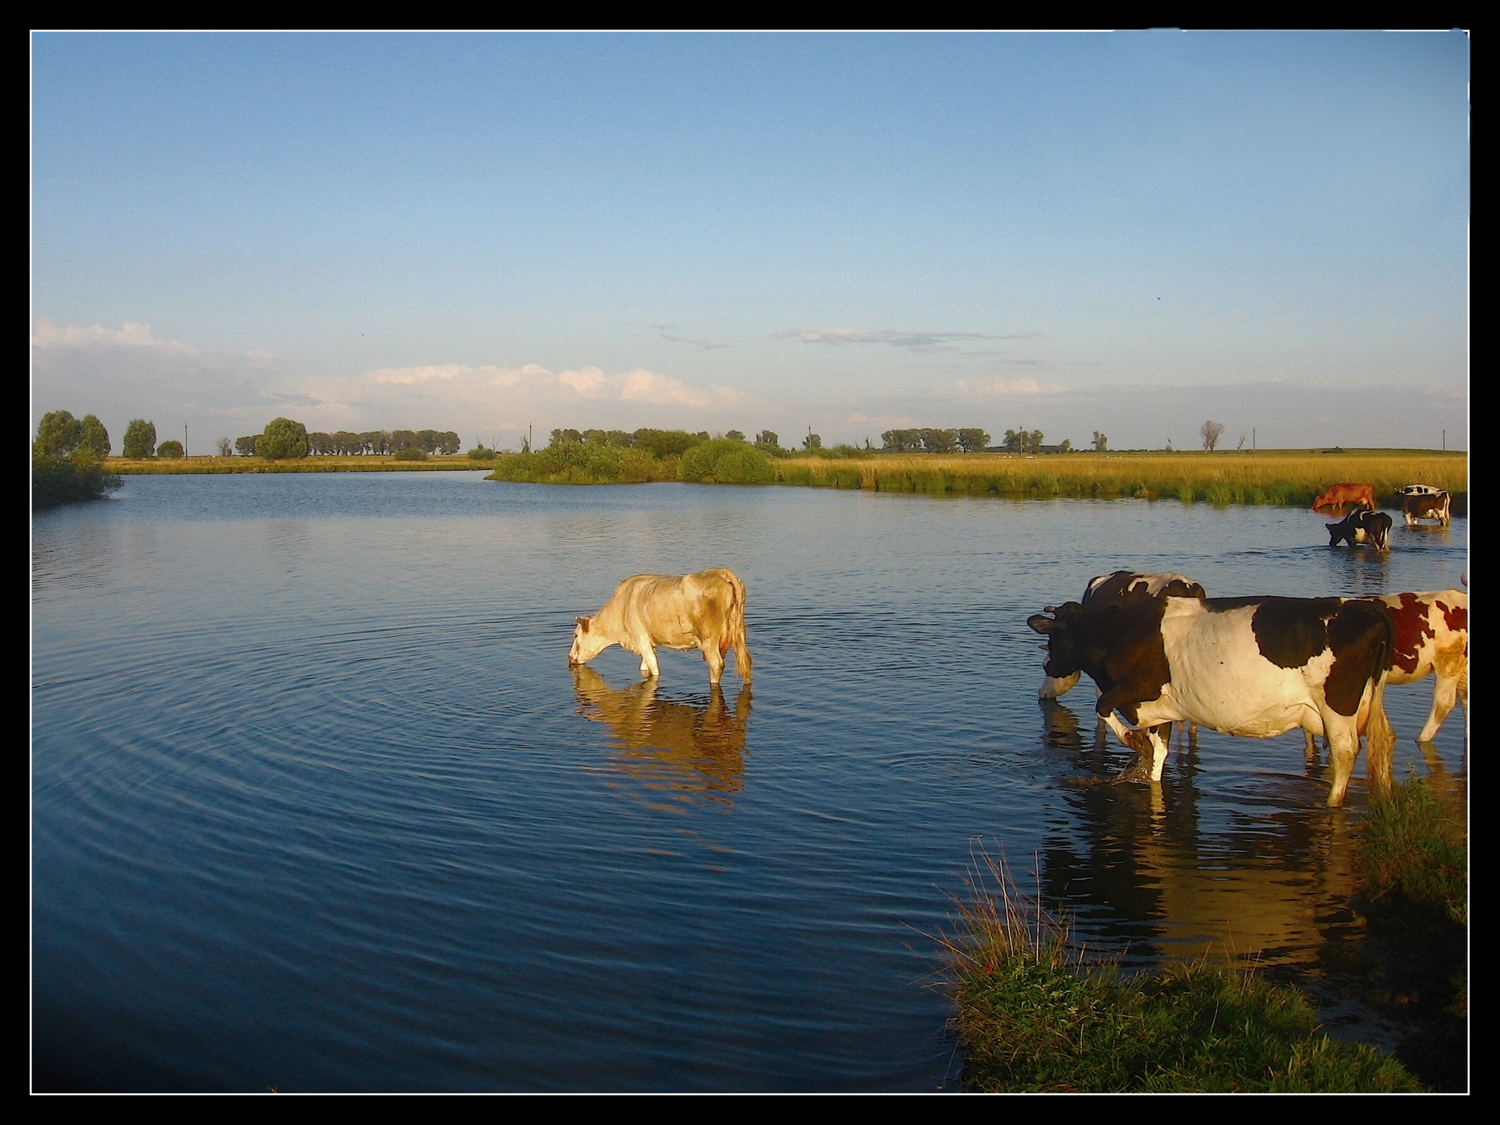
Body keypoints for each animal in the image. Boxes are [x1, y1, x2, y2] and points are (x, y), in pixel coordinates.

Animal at [564, 567, 750, 684]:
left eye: (575, 635)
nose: (570, 658)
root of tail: (721, 571)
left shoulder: (641, 639)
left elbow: (653, 668)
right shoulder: (649, 642)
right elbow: (645, 667)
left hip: (708, 640)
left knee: (716, 665)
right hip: (739, 633)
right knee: (746, 664)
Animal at [1032, 594, 1392, 804]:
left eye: (1053, 639)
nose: (1047, 665)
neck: (1116, 632)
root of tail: (1369, 608)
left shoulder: (1137, 689)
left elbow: (1103, 706)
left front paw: (1134, 742)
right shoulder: (1162, 710)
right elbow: (1158, 758)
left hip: (1337, 706)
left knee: (1345, 752)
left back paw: (1332, 802)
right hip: (1369, 701)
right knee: (1384, 743)